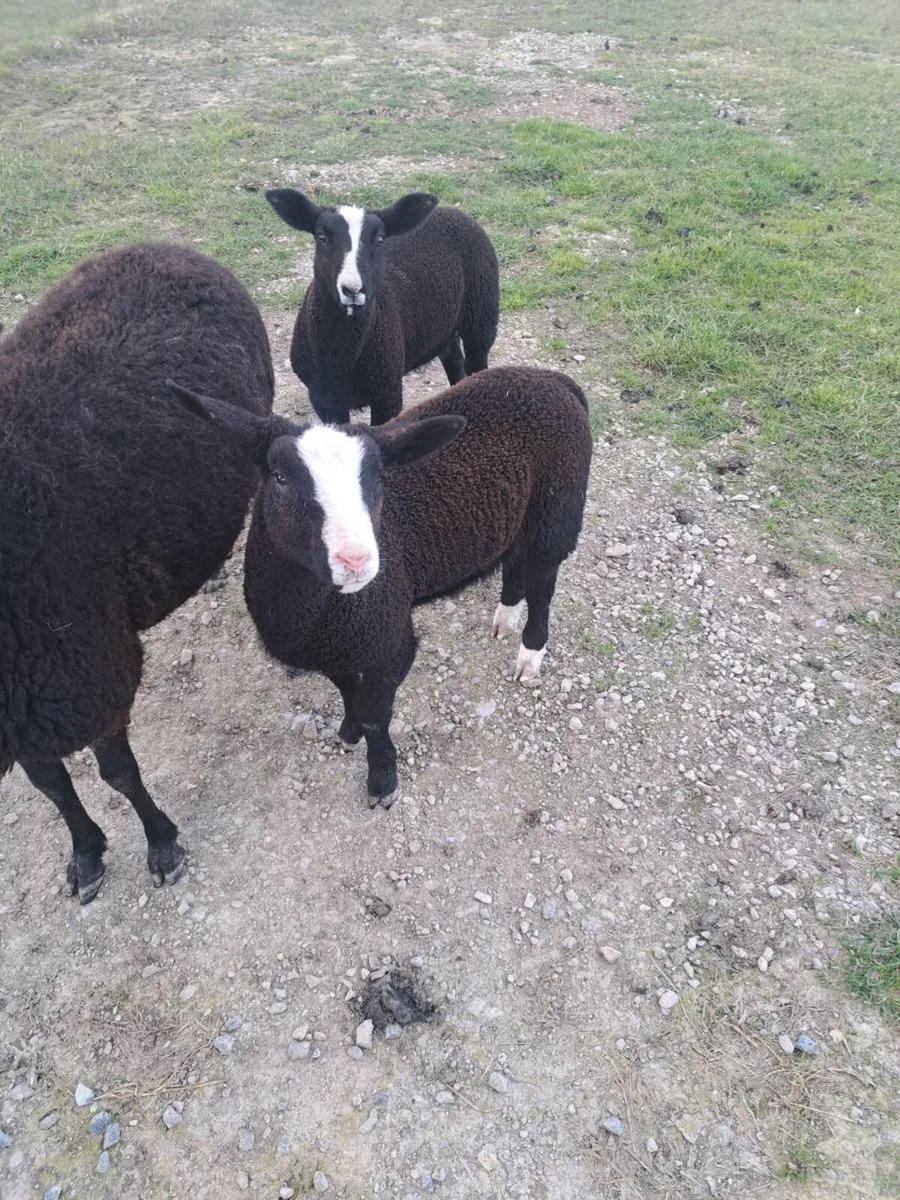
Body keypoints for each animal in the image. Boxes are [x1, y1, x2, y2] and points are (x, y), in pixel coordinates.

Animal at [0, 242, 274, 903]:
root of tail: (166, 249)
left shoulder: (88, 671)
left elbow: (118, 773)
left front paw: (162, 842)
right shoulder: (33, 698)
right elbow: (52, 786)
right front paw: (85, 853)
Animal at [169, 365, 592, 808]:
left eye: (376, 478)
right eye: (280, 478)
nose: (356, 561)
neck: (314, 613)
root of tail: (552, 379)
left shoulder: (388, 639)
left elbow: (375, 716)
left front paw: (382, 779)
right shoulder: (335, 646)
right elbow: (345, 691)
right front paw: (348, 731)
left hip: (557, 511)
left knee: (543, 583)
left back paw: (529, 655)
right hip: (519, 517)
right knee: (514, 563)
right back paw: (504, 617)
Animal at [265, 188, 500, 426]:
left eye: (379, 240)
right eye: (321, 237)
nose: (352, 290)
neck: (339, 357)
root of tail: (449, 210)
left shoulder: (388, 394)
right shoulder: (324, 401)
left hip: (482, 312)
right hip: (442, 323)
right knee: (453, 359)